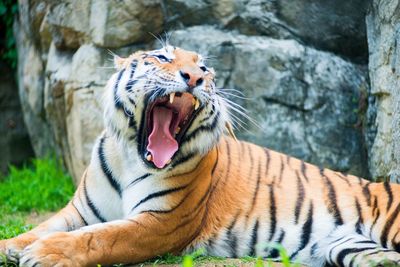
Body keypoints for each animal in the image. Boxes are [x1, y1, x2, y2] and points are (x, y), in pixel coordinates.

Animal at [0, 46, 400, 267]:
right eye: (161, 57)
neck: (130, 158)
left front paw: (44, 254)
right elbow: (37, 229)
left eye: (205, 68)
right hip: (349, 246)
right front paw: (13, 247)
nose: (195, 77)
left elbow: (99, 238)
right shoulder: (80, 211)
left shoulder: (159, 223)